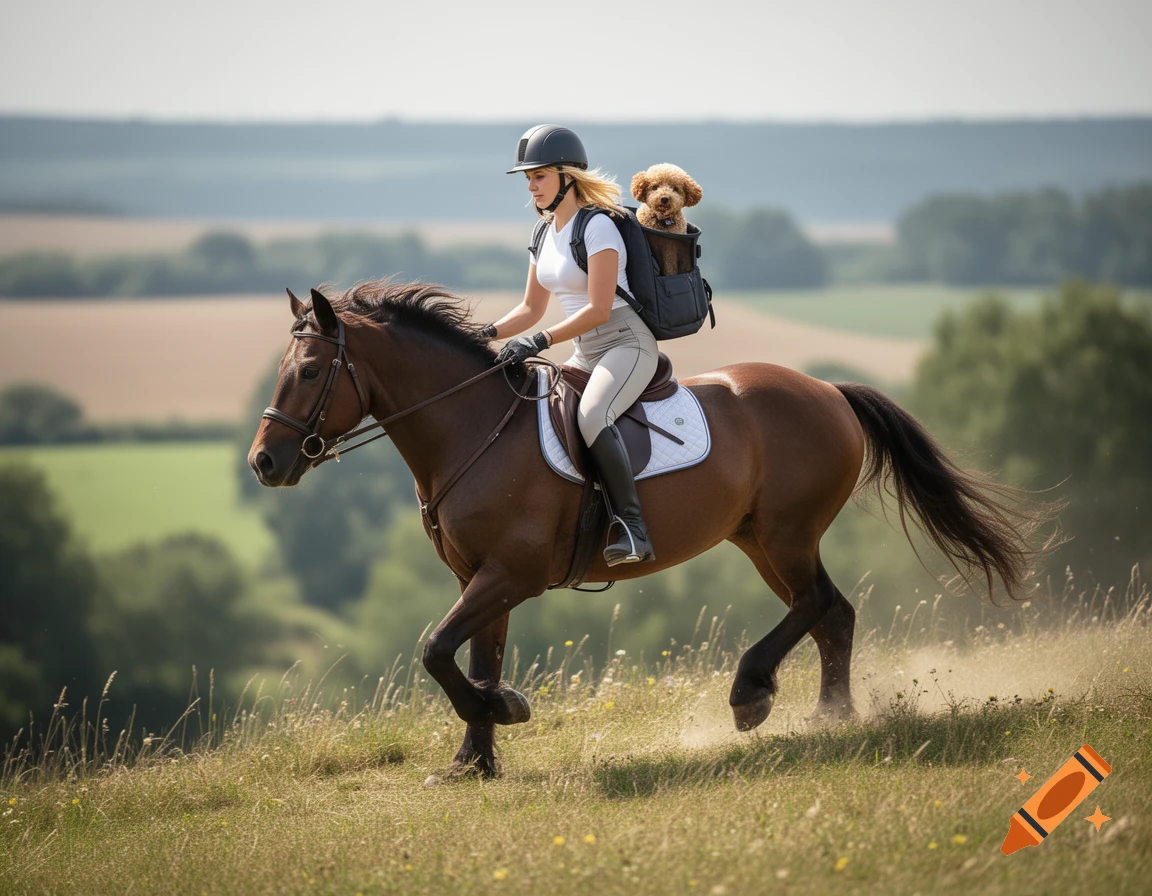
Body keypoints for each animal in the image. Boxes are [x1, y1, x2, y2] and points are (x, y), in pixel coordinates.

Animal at [247, 281, 1048, 778]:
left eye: (311, 370)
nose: (264, 462)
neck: (471, 426)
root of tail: (827, 389)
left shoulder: (510, 575)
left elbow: (438, 651)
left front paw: (502, 712)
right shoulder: (480, 578)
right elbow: (473, 658)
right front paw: (474, 759)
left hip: (786, 533)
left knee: (818, 605)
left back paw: (754, 693)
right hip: (760, 538)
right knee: (831, 611)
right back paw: (833, 717)